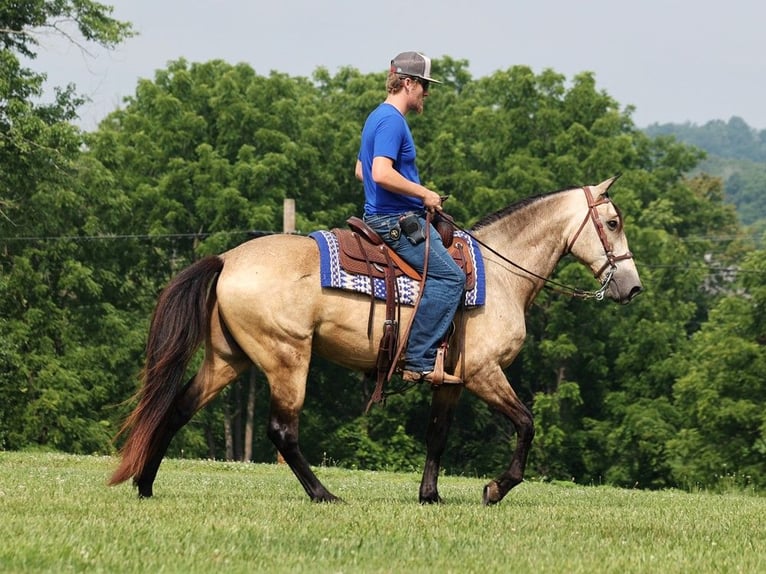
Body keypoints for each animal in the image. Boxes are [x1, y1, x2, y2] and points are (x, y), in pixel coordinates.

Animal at [111, 176, 644, 504]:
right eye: (612, 222)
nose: (632, 287)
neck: (500, 273)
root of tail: (226, 259)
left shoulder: (450, 380)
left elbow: (437, 435)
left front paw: (430, 496)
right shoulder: (483, 373)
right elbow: (527, 424)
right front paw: (496, 488)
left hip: (229, 359)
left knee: (177, 409)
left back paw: (144, 485)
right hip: (287, 358)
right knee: (282, 431)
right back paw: (324, 494)